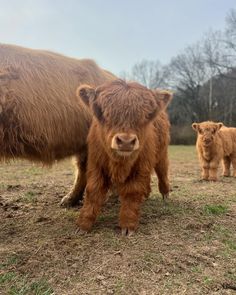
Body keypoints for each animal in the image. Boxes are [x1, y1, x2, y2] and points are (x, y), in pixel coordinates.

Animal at [76, 79, 172, 236]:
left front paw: (128, 225)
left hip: (162, 154)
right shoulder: (96, 164)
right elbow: (93, 191)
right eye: (104, 113)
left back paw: (165, 195)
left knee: (162, 173)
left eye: (145, 115)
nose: (126, 141)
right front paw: (84, 224)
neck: (120, 164)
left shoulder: (140, 166)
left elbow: (132, 192)